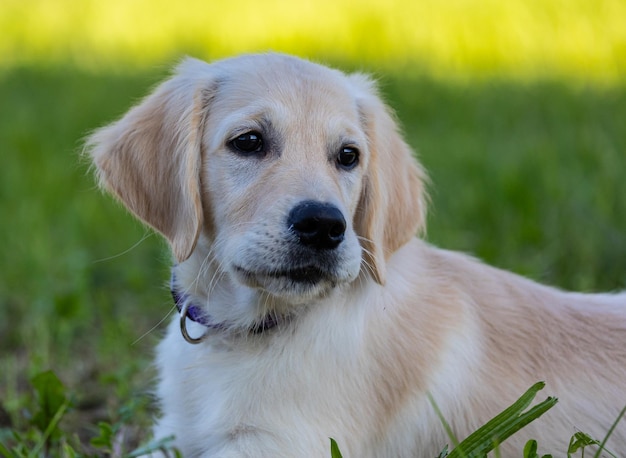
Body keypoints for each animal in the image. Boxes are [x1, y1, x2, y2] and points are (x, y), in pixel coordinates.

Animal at [85, 54, 620, 458]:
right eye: (249, 142)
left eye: (348, 156)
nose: (324, 226)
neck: (249, 331)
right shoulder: (172, 433)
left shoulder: (282, 443)